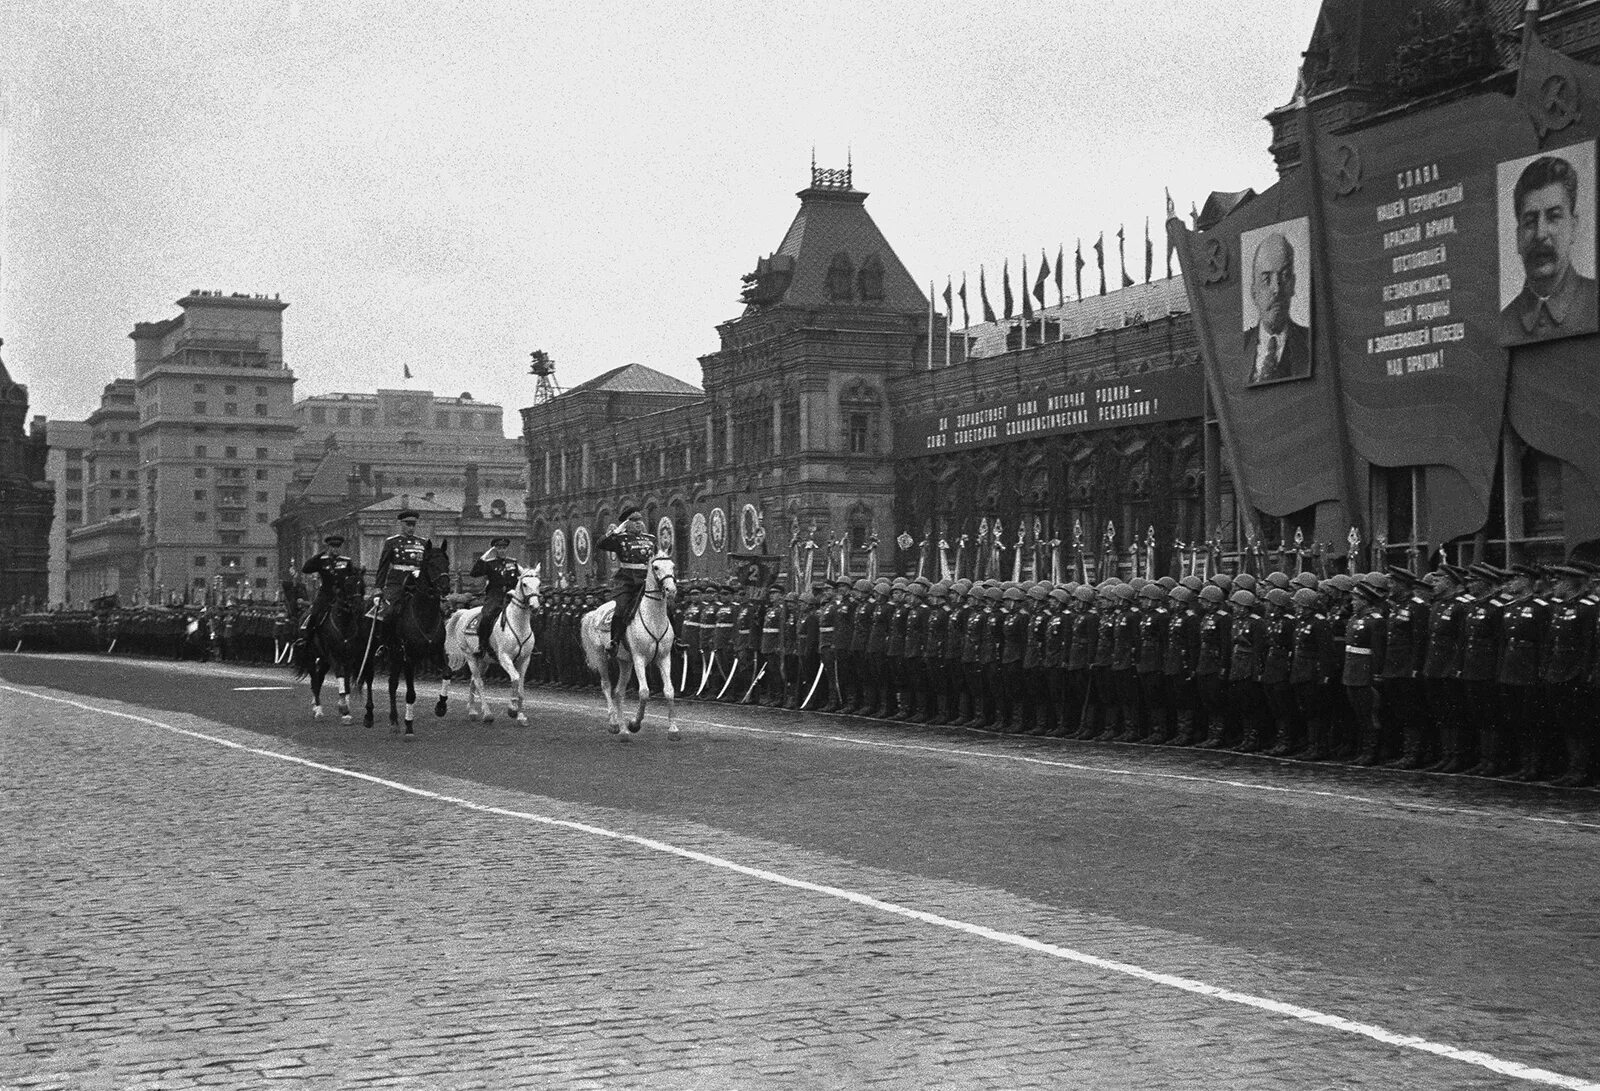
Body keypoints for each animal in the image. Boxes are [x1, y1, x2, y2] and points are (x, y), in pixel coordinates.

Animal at [355, 540, 448, 735]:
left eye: (446, 562)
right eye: (430, 563)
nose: (445, 587)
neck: (424, 615)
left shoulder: (435, 652)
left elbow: (447, 672)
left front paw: (441, 706)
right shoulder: (409, 658)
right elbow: (411, 693)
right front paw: (409, 725)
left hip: (395, 656)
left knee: (392, 684)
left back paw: (394, 720)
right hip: (373, 652)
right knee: (369, 678)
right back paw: (369, 716)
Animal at [438, 559, 544, 723]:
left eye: (538, 583)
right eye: (524, 584)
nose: (535, 607)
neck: (518, 624)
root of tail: (465, 612)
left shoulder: (525, 659)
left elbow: (521, 687)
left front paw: (520, 715)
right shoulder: (504, 657)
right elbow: (515, 678)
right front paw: (512, 709)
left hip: (483, 660)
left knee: (473, 681)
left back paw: (472, 711)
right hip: (470, 656)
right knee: (479, 682)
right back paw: (487, 714)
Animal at [579, 553, 678, 739]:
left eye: (673, 566)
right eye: (656, 567)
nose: (671, 590)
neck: (653, 618)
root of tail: (595, 612)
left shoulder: (664, 658)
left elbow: (669, 690)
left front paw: (673, 729)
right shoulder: (639, 658)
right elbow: (644, 692)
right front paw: (635, 724)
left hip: (625, 662)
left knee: (618, 692)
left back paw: (623, 730)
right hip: (601, 656)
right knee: (606, 685)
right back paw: (614, 724)